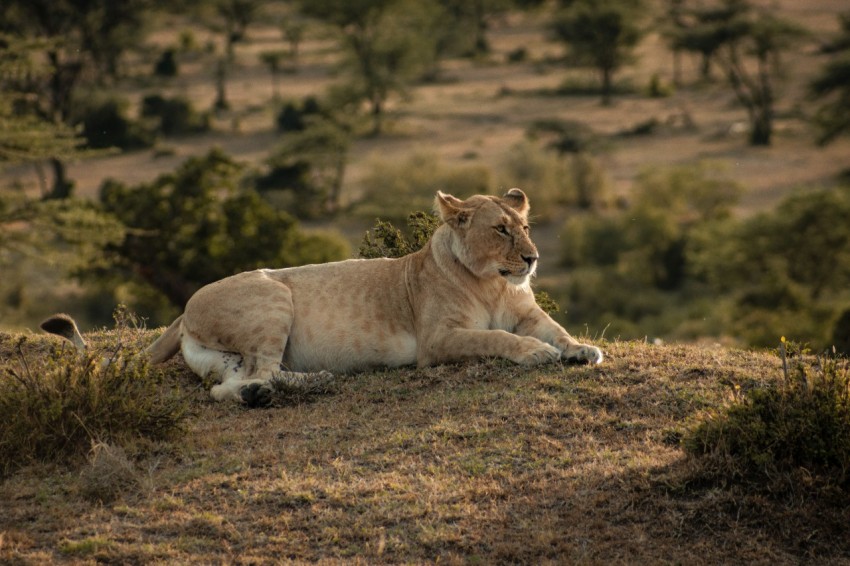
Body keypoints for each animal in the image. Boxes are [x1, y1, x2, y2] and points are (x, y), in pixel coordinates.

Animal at [42, 189, 603, 406]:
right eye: (500, 230)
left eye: (525, 226)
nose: (533, 258)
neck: (492, 281)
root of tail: (182, 311)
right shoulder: (437, 342)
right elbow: (497, 341)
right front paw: (536, 355)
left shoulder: (527, 313)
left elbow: (557, 330)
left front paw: (582, 350)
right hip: (273, 299)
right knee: (256, 374)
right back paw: (302, 385)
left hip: (227, 353)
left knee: (232, 384)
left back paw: (300, 384)